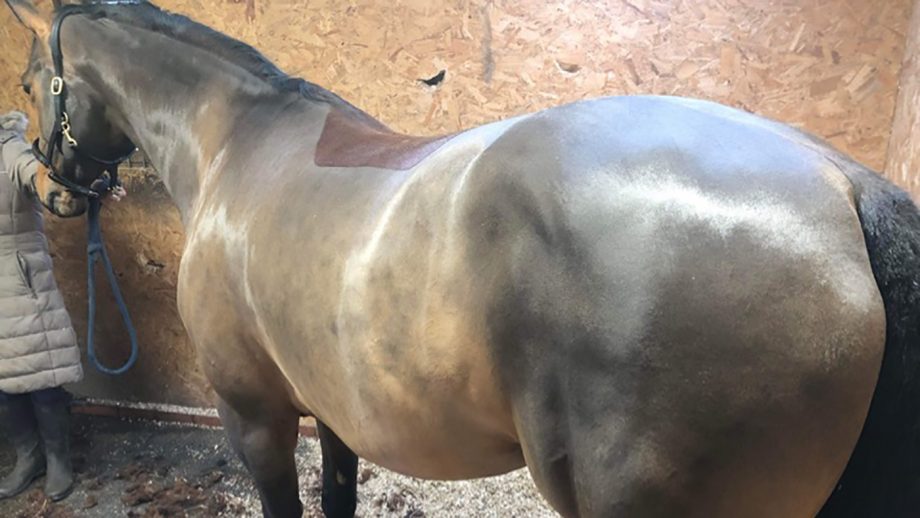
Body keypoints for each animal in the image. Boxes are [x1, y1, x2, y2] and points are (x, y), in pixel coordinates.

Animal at [4, 1, 919, 517]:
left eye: (25, 81)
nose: (54, 189)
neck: (236, 142)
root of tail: (842, 186)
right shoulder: (333, 412)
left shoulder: (255, 415)